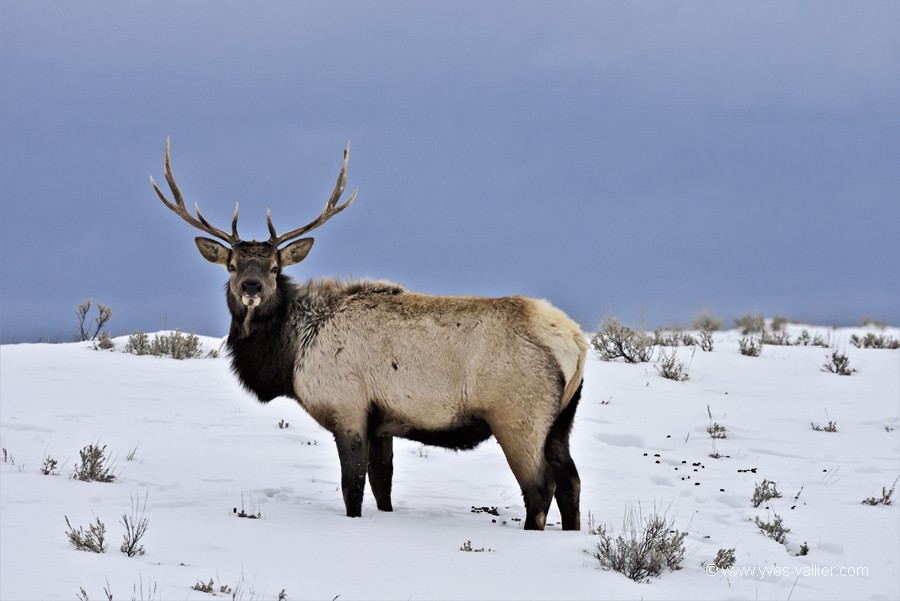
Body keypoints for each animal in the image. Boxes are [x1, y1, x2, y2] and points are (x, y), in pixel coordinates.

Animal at [153, 139, 592, 528]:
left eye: (275, 267)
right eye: (232, 265)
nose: (251, 287)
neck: (292, 354)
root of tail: (575, 343)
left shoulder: (348, 410)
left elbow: (353, 491)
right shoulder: (384, 423)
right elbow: (384, 489)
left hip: (518, 418)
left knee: (541, 488)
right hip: (561, 420)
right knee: (571, 482)